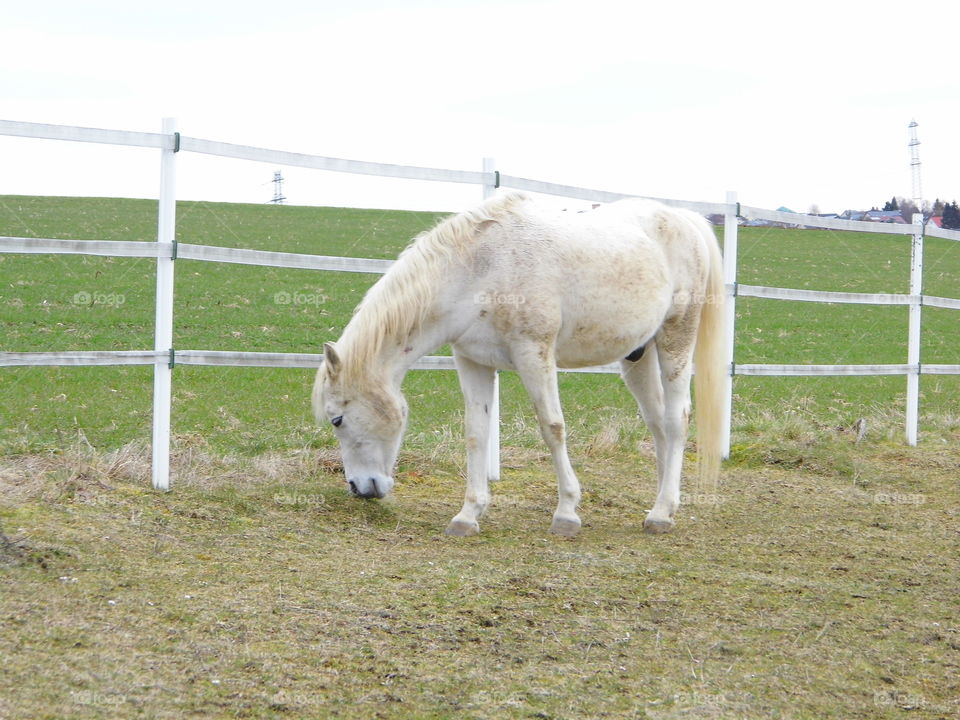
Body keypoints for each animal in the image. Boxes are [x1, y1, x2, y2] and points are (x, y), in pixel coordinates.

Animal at [313, 191, 726, 537]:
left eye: (337, 419)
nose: (360, 489)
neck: (481, 267)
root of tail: (685, 219)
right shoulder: (472, 361)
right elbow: (476, 433)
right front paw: (468, 515)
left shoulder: (534, 354)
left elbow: (552, 427)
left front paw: (566, 513)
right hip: (638, 357)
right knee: (656, 424)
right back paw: (663, 505)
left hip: (676, 340)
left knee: (675, 421)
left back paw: (661, 513)